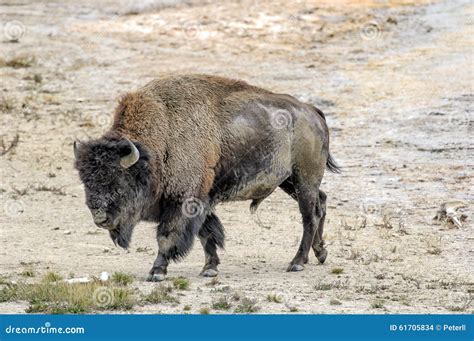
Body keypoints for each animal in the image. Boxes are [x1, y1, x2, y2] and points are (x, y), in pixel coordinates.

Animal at [74, 73, 338, 278]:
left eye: (119, 181)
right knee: (322, 202)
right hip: (289, 182)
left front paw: (157, 271)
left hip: (304, 179)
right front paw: (209, 268)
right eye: (86, 181)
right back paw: (320, 254)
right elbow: (207, 234)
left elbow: (168, 236)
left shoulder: (183, 201)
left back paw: (297, 263)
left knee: (310, 216)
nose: (100, 218)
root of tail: (312, 112)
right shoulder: (202, 199)